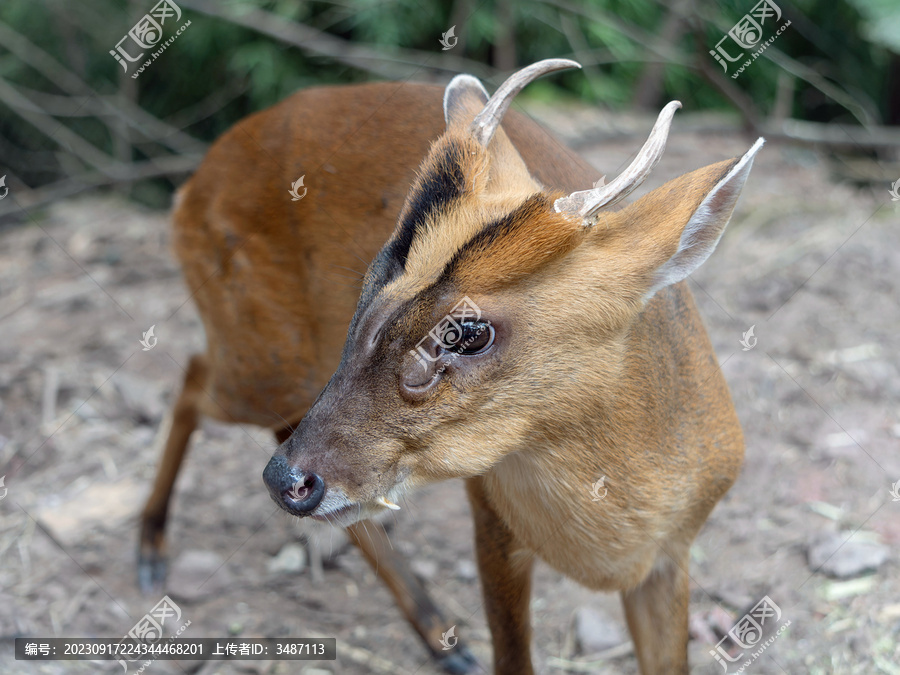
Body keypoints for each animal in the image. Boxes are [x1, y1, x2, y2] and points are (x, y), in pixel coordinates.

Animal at [142, 56, 760, 675]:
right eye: (371, 281)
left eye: (466, 331)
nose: (287, 481)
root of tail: (192, 187)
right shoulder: (491, 519)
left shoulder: (671, 557)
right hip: (262, 361)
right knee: (195, 378)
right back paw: (150, 549)